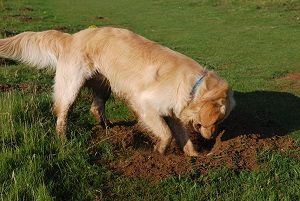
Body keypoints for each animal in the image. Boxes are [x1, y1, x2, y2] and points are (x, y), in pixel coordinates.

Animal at [0, 26, 234, 156]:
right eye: (214, 122)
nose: (212, 138)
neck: (194, 85)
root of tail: (72, 37)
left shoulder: (174, 113)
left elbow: (182, 136)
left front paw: (194, 156)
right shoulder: (145, 105)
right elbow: (166, 134)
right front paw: (160, 152)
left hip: (105, 85)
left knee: (95, 108)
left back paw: (108, 128)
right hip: (71, 85)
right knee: (62, 113)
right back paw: (63, 139)